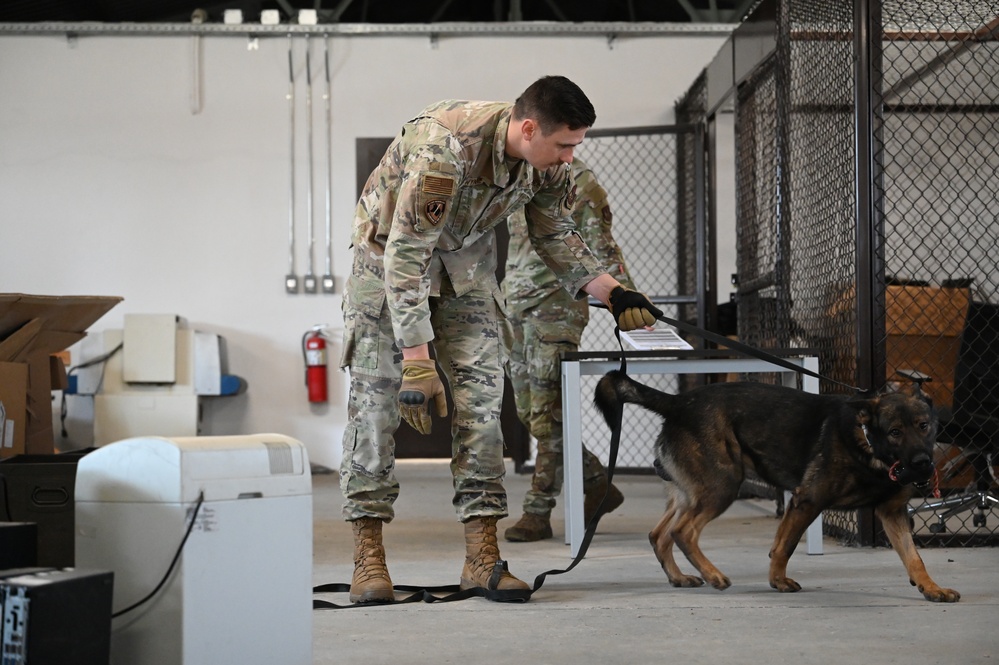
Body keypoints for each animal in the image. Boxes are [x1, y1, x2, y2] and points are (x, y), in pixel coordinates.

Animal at [592, 370, 960, 604]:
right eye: (895, 432)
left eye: (924, 426)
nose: (923, 463)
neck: (868, 442)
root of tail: (678, 403)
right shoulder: (807, 501)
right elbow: (786, 545)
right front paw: (777, 580)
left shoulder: (892, 512)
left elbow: (914, 558)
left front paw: (931, 588)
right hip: (722, 485)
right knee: (682, 532)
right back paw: (713, 575)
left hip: (689, 494)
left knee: (659, 534)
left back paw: (680, 577)